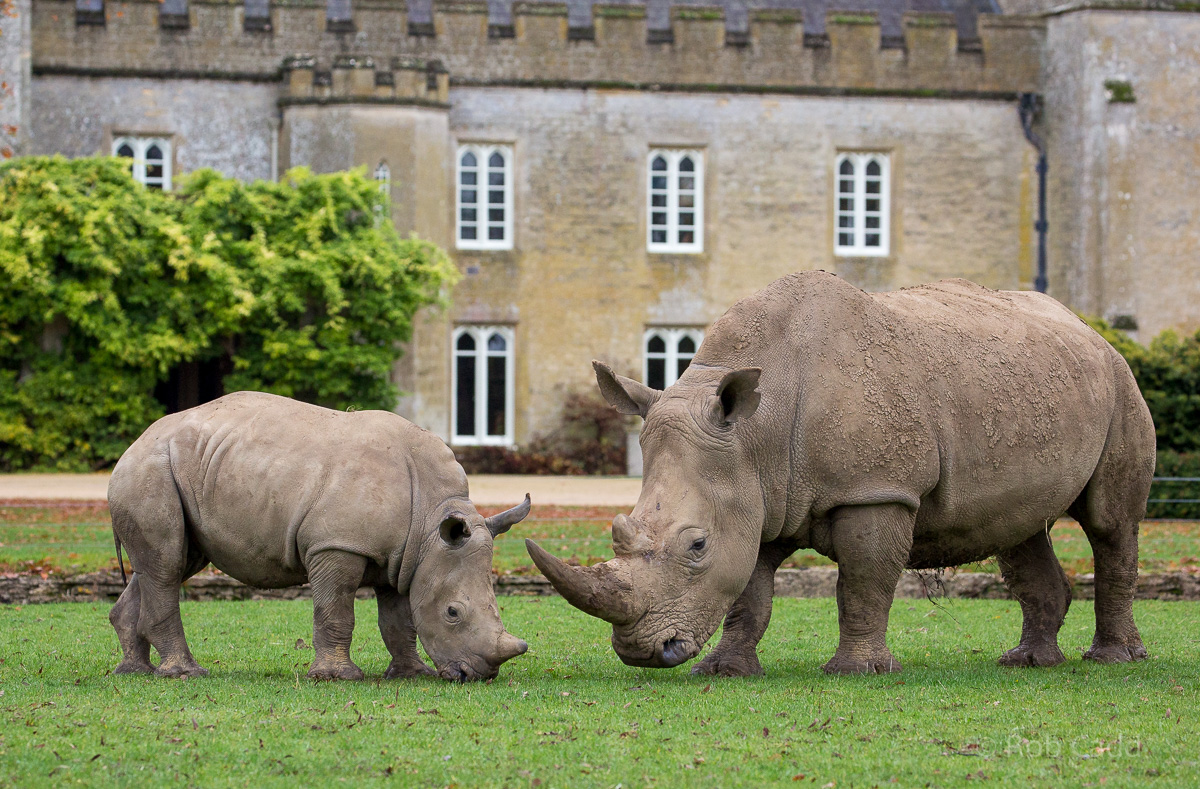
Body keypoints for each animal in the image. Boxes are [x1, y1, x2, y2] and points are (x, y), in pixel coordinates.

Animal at [108, 391, 529, 681]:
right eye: (453, 613)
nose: (477, 675)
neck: (431, 519)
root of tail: (132, 445)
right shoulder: (338, 545)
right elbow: (336, 610)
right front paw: (337, 678)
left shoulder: (405, 557)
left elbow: (399, 620)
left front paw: (412, 675)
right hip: (150, 471)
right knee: (166, 565)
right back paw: (185, 674)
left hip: (183, 472)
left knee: (170, 564)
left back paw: (135, 672)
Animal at [527, 273, 1155, 675]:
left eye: (697, 545)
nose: (642, 652)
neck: (756, 432)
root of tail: (1089, 329)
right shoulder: (758, 495)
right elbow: (749, 592)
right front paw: (726, 671)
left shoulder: (875, 492)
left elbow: (863, 583)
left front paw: (857, 672)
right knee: (1019, 530)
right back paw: (1027, 663)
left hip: (1122, 384)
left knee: (1110, 524)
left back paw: (1113, 660)